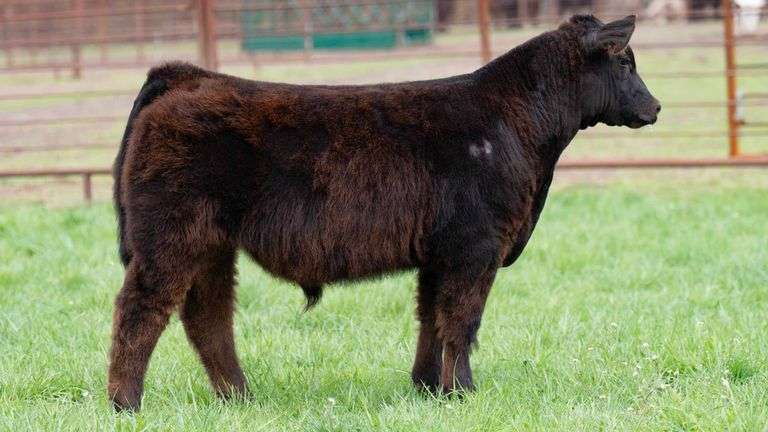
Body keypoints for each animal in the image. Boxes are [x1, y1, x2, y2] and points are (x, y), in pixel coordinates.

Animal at [108, 14, 660, 411]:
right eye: (625, 64)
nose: (655, 107)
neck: (514, 125)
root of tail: (188, 75)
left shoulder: (439, 254)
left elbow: (431, 319)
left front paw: (429, 389)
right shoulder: (475, 248)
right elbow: (462, 320)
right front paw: (463, 392)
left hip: (213, 246)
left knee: (208, 317)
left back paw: (239, 398)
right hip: (171, 238)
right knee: (141, 310)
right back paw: (126, 403)